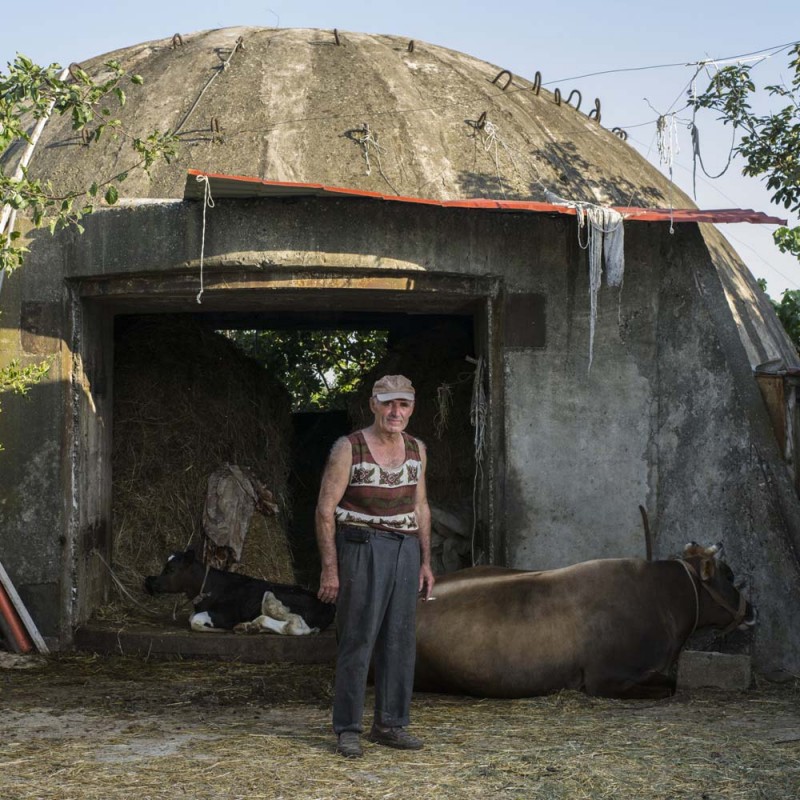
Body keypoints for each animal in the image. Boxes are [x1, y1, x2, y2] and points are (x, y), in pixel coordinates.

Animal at [144, 548, 334, 636]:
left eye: (170, 569)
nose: (149, 582)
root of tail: (325, 603)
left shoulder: (226, 615)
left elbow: (195, 619)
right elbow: (192, 617)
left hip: (271, 597)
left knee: (293, 625)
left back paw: (252, 625)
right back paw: (250, 626)